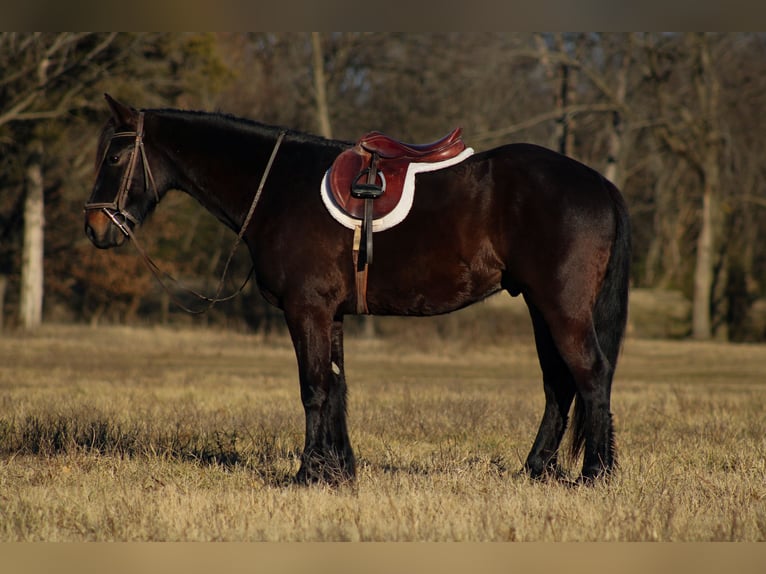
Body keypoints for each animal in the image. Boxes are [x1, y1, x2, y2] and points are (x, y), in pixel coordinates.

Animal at [84, 94, 630, 485]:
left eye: (115, 155)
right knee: (559, 384)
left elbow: (313, 388)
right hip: (540, 307)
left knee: (591, 375)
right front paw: (339, 471)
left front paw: (307, 474)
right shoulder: (332, 313)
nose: (95, 227)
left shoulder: (306, 309)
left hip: (561, 307)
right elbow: (337, 385)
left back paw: (595, 476)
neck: (281, 186)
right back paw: (537, 469)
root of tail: (599, 183)